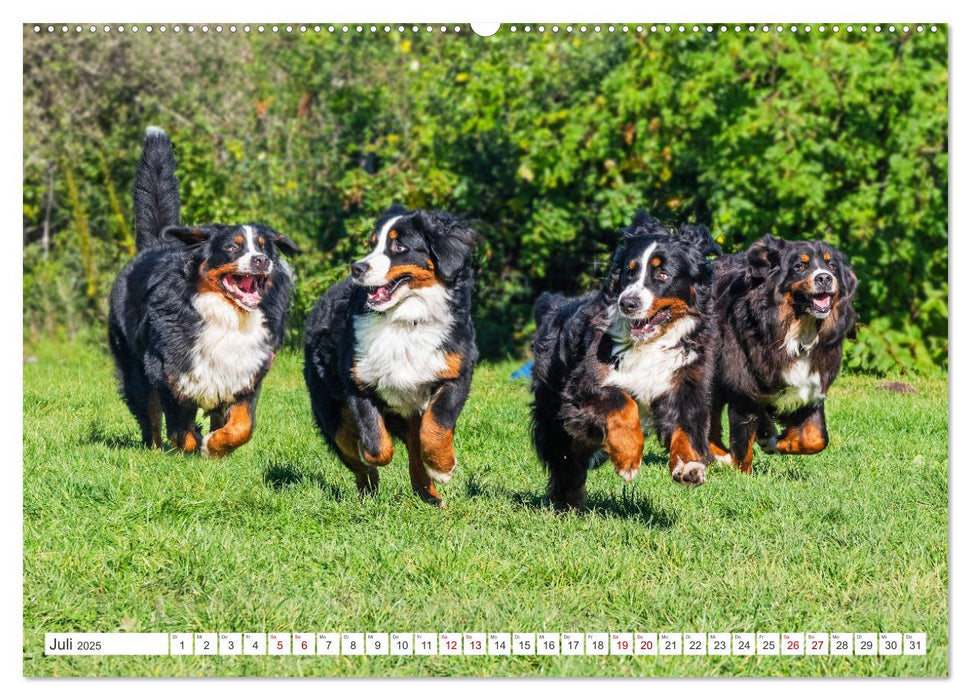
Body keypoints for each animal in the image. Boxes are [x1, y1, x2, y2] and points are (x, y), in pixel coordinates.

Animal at [108, 129, 298, 460]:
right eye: (233, 247)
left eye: (264, 246)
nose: (261, 260)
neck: (229, 317)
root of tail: (155, 246)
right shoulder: (170, 371)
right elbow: (180, 431)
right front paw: (195, 446)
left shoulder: (246, 371)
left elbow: (242, 426)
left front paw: (217, 447)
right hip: (133, 367)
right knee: (149, 415)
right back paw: (153, 450)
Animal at [306, 205, 480, 506]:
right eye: (372, 243)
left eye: (399, 246)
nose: (357, 268)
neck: (406, 322)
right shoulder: (357, 382)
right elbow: (377, 445)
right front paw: (373, 455)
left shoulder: (455, 373)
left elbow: (435, 428)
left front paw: (442, 468)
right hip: (332, 415)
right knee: (355, 456)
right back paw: (369, 489)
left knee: (415, 446)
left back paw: (430, 497)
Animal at [532, 211, 720, 512]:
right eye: (629, 272)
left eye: (662, 274)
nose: (628, 302)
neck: (650, 344)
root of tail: (554, 305)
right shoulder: (582, 386)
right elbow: (623, 401)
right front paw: (629, 459)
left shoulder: (686, 382)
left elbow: (686, 427)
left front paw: (689, 466)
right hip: (555, 415)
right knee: (566, 461)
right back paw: (569, 503)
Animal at [708, 234, 860, 470]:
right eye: (800, 266)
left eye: (832, 266)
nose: (824, 278)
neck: (798, 332)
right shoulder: (743, 386)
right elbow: (742, 445)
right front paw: (742, 472)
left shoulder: (812, 384)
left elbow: (817, 439)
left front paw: (775, 442)